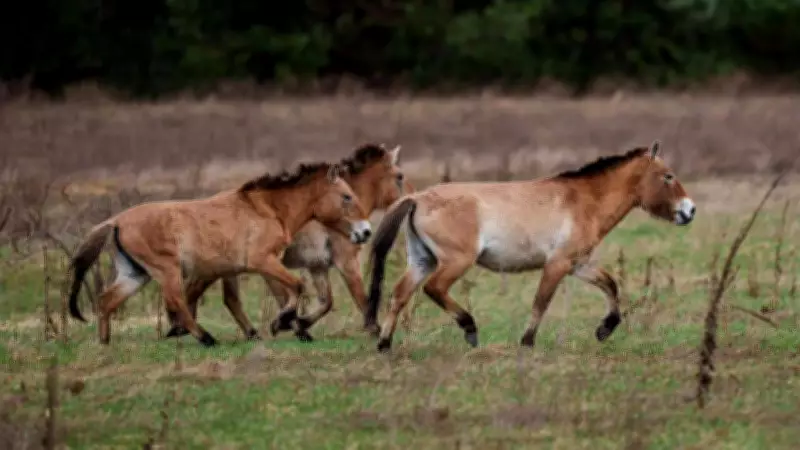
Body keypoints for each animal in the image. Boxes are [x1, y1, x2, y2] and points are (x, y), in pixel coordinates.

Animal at [66, 162, 372, 347]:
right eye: (346, 197)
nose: (365, 232)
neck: (269, 209)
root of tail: (117, 220)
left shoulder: (267, 264)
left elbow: (294, 291)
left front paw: (287, 324)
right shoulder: (262, 261)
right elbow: (296, 287)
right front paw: (282, 322)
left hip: (136, 274)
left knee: (106, 301)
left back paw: (105, 343)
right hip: (167, 270)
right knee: (176, 301)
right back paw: (206, 338)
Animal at [163, 143, 413, 342]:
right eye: (400, 176)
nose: (412, 199)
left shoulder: (318, 267)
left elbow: (326, 301)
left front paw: (298, 324)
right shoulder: (346, 262)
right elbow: (361, 298)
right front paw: (374, 329)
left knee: (220, 297)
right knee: (202, 293)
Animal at [365, 141, 696, 352]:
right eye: (668, 176)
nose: (689, 210)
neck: (583, 201)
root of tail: (417, 198)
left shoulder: (578, 264)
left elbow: (611, 286)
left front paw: (604, 329)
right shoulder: (557, 265)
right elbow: (541, 302)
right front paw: (526, 342)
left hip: (422, 261)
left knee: (399, 295)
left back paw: (384, 344)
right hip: (455, 262)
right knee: (434, 289)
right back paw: (470, 330)